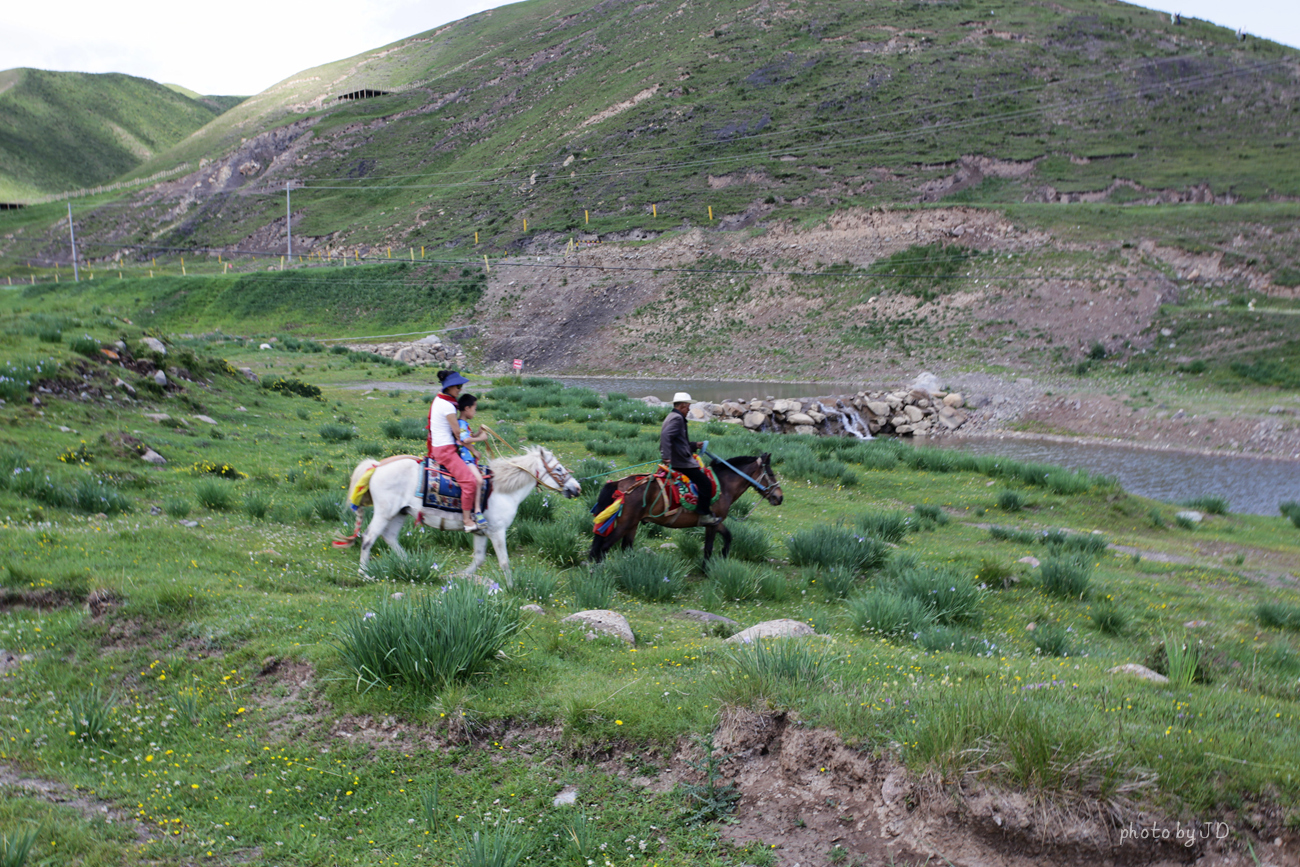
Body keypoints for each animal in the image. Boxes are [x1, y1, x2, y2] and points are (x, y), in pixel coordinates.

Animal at [340, 447, 579, 582]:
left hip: (400, 512)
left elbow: (479, 559)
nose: (576, 488)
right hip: (384, 511)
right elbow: (504, 562)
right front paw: (512, 587)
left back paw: (413, 565)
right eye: (558, 469)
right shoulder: (497, 531)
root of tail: (377, 465)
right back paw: (364, 574)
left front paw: (457, 576)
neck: (503, 489)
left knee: (389, 537)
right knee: (368, 538)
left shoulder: (481, 533)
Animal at [590, 457, 780, 566]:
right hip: (626, 523)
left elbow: (728, 536)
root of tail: (620, 483)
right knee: (604, 546)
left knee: (625, 547)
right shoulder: (711, 524)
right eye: (771, 473)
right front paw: (706, 569)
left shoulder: (716, 521)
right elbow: (709, 547)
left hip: (632, 525)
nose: (779, 497)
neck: (723, 486)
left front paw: (723, 558)